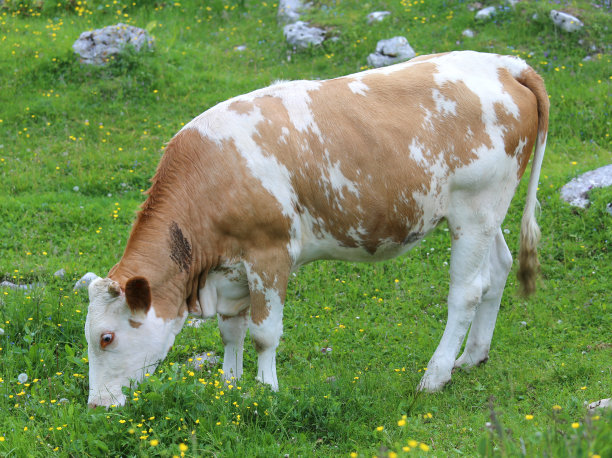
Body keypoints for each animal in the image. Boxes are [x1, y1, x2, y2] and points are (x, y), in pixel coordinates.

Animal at [83, 51, 548, 408]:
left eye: (106, 338)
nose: (97, 405)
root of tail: (507, 64)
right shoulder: (232, 268)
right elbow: (231, 330)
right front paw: (230, 387)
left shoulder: (269, 253)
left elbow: (264, 334)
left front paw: (265, 391)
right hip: (483, 213)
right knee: (498, 269)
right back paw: (472, 357)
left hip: (476, 208)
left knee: (466, 292)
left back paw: (435, 376)